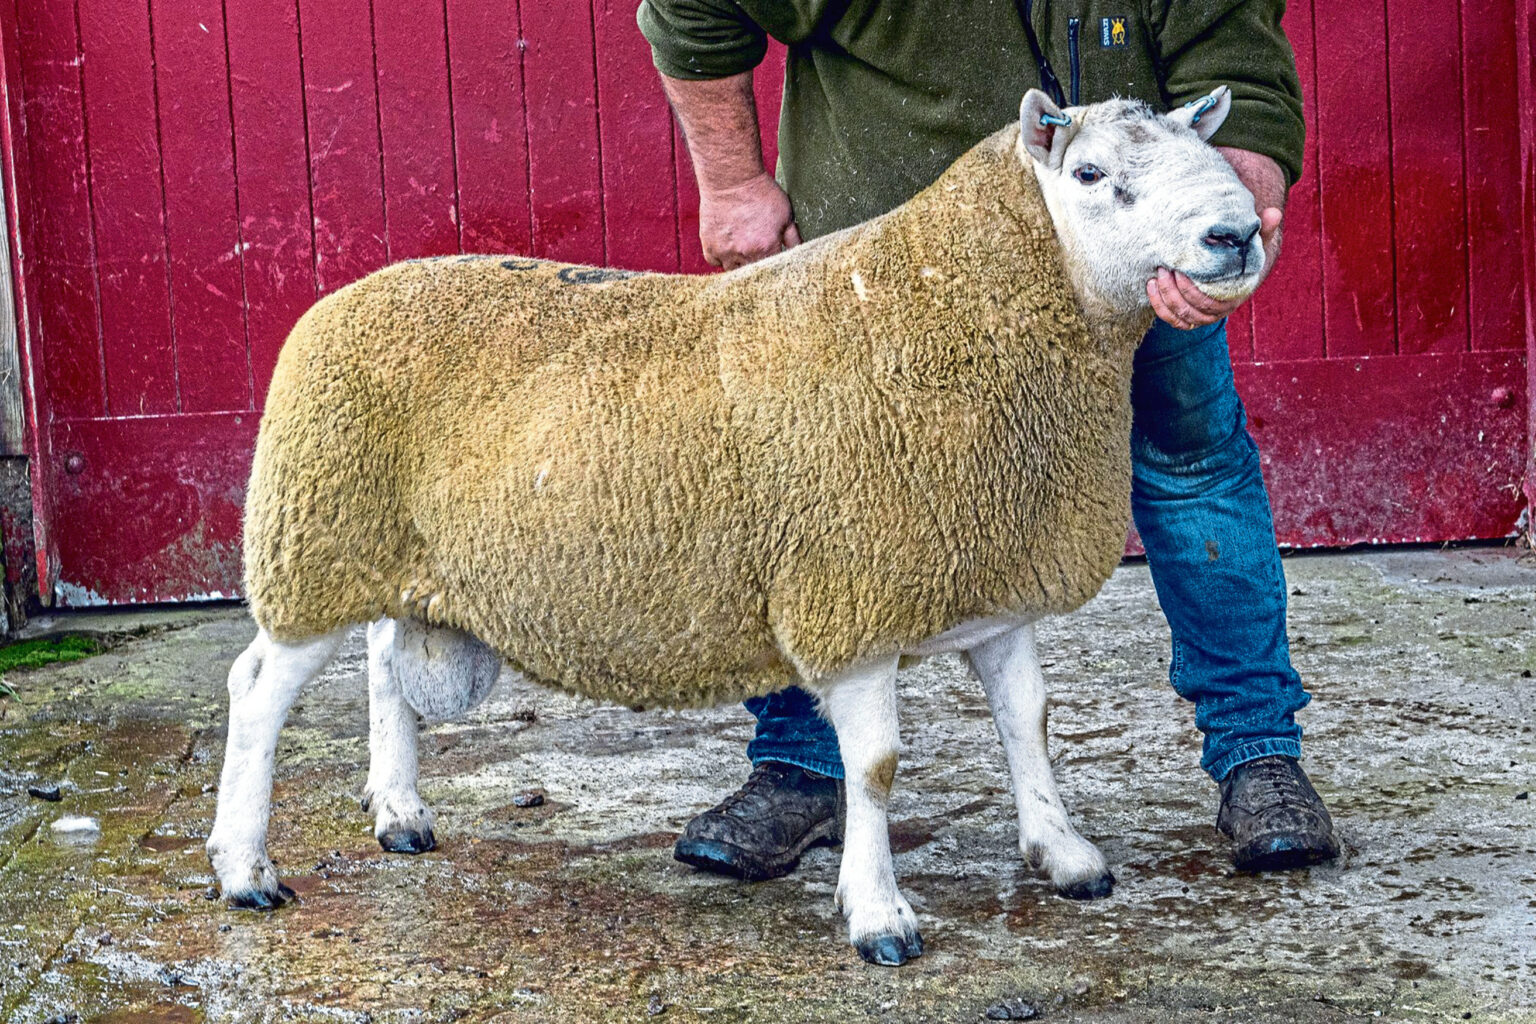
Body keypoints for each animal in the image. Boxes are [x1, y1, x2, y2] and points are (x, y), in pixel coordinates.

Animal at [210, 88, 1265, 970]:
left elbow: (1028, 724)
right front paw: (880, 915)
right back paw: (244, 868)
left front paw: (1063, 852)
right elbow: (874, 768)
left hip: (405, 556)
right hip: (316, 538)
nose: (1239, 233)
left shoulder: (992, 582)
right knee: (259, 693)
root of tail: (346, 295)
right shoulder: (852, 598)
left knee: (386, 666)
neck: (954, 310)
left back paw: (399, 813)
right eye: (1089, 175)